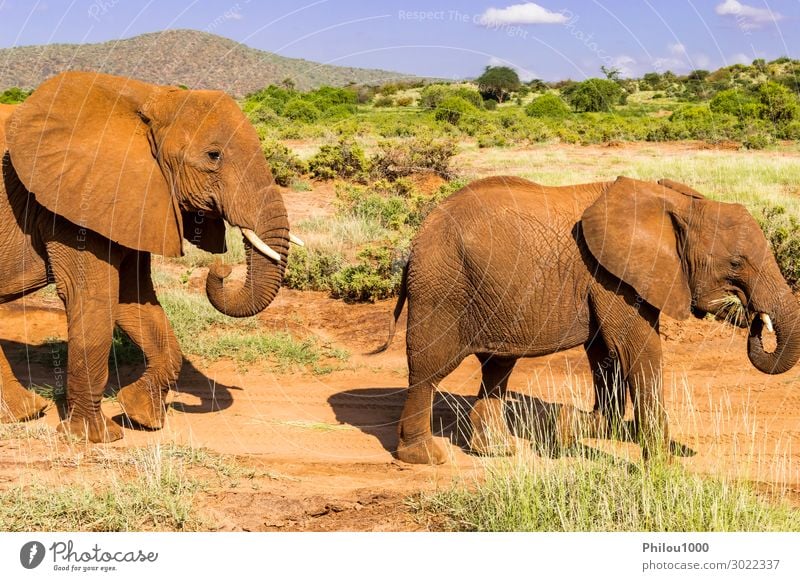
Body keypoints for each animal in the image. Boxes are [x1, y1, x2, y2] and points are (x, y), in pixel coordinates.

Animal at [0, 70, 300, 442]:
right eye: (213, 156)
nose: (222, 269)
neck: (149, 98)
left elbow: (134, 298)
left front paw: (141, 416)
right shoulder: (72, 204)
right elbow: (94, 297)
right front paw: (95, 438)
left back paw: (24, 413)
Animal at [376, 174, 800, 464]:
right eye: (736, 264)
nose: (753, 317)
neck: (674, 203)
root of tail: (417, 238)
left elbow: (606, 355)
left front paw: (569, 428)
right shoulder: (613, 276)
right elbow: (637, 348)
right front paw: (661, 469)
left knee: (497, 368)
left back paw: (497, 451)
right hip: (442, 287)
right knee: (429, 370)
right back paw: (424, 457)